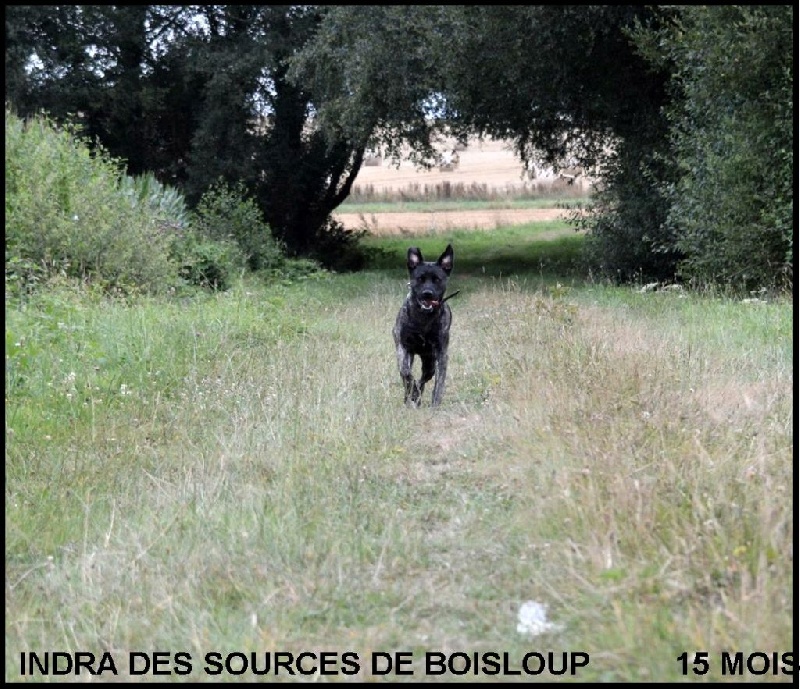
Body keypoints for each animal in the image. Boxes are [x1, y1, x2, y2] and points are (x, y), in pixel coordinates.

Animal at [392, 244, 455, 407]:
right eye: (420, 279)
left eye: (437, 280)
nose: (428, 293)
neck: (423, 319)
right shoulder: (403, 347)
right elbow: (406, 373)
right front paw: (412, 392)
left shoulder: (441, 354)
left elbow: (439, 383)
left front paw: (435, 404)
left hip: (429, 362)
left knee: (424, 379)